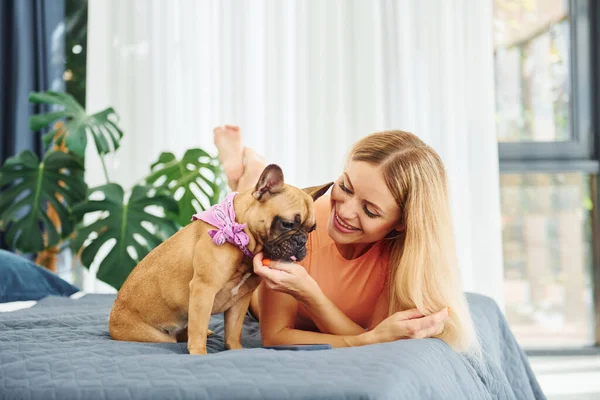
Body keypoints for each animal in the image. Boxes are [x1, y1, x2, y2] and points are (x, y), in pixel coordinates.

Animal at [109, 164, 332, 354]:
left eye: (311, 229)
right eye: (286, 224)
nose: (301, 242)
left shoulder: (241, 298)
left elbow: (233, 330)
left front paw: (235, 350)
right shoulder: (204, 289)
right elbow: (198, 329)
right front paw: (199, 353)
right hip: (153, 335)